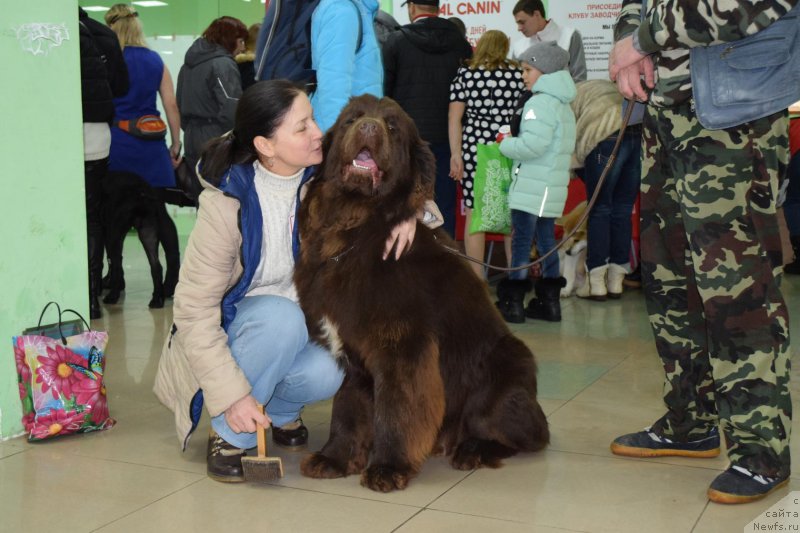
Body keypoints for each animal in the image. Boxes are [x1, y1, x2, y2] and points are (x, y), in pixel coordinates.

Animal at [294, 93, 552, 492]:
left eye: (392, 127)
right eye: (352, 119)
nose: (367, 128)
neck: (356, 228)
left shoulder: (404, 348)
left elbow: (397, 410)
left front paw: (388, 467)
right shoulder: (351, 355)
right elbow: (347, 409)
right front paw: (334, 458)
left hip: (504, 372)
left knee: (526, 436)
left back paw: (473, 449)